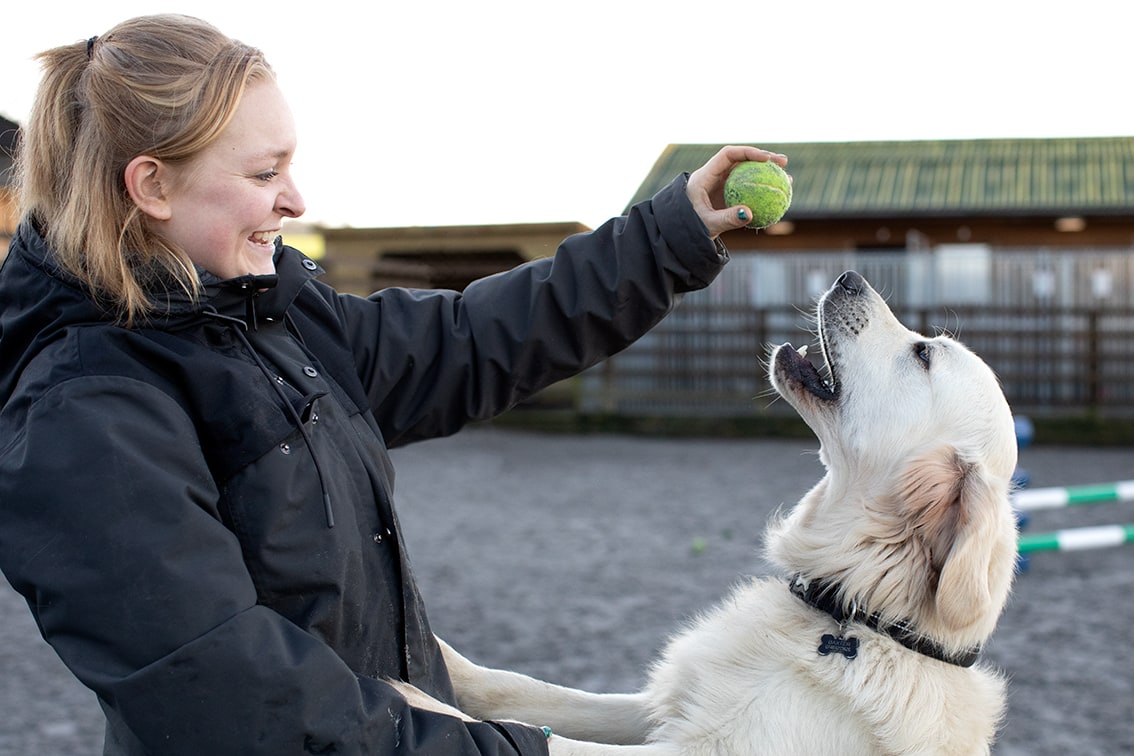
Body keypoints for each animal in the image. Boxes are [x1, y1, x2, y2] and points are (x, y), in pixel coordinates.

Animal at [405, 272, 1020, 756]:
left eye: (924, 354)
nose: (848, 277)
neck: (856, 612)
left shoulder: (706, 748)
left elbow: (551, 742)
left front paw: (409, 699)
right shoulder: (669, 703)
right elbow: (530, 694)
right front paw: (443, 663)